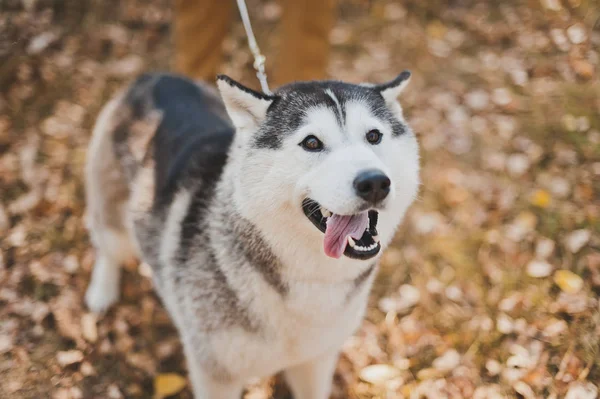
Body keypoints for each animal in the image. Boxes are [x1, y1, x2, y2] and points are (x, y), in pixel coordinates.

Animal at [84, 72, 420, 399]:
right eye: (312, 142)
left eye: (373, 136)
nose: (374, 183)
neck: (311, 278)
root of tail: (152, 78)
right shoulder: (215, 373)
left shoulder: (315, 361)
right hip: (116, 224)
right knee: (107, 247)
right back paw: (102, 291)